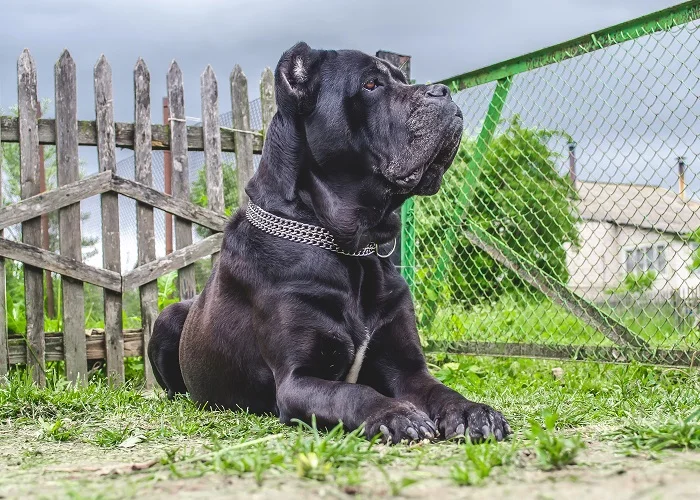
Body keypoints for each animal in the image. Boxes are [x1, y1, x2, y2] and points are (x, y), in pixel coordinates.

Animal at [149, 42, 508, 442]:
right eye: (371, 84)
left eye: (403, 80)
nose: (443, 92)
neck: (354, 249)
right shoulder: (297, 380)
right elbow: (352, 392)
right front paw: (396, 413)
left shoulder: (407, 368)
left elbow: (440, 390)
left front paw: (473, 411)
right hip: (167, 316)